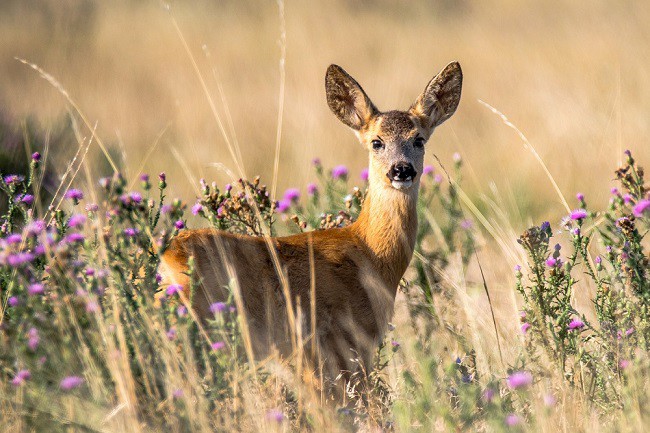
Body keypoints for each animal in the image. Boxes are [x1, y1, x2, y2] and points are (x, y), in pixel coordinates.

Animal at [158, 60, 460, 392]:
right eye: (376, 142)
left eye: (419, 139)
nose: (402, 170)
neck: (370, 254)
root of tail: (168, 259)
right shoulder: (338, 344)